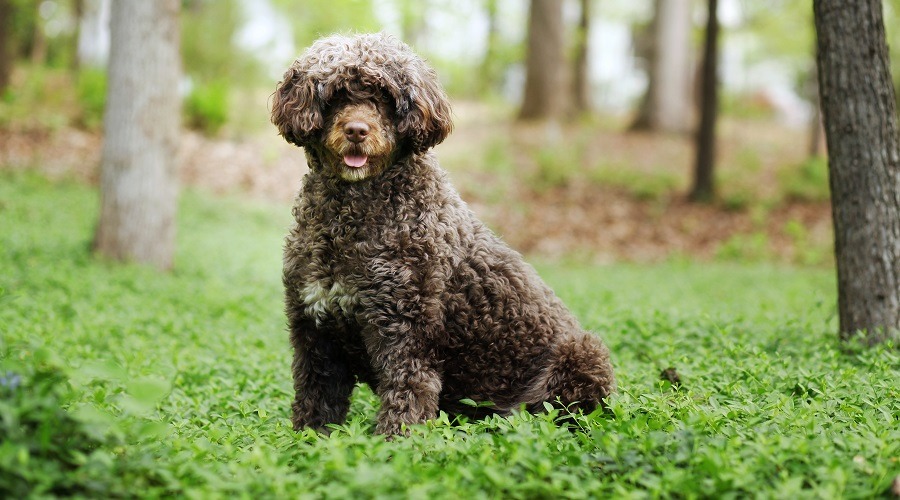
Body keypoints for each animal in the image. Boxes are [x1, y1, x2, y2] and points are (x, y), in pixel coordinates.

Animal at [270, 32, 616, 438]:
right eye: (336, 95)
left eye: (384, 96)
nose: (357, 130)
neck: (353, 214)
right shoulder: (315, 331)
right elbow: (315, 401)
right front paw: (305, 440)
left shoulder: (405, 333)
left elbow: (406, 396)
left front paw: (394, 444)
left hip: (583, 355)